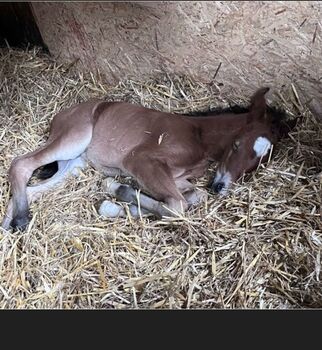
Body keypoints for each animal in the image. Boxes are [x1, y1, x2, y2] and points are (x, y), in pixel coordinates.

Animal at [1, 87, 294, 230]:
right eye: (236, 145)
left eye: (258, 162)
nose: (221, 186)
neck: (198, 135)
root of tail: (61, 116)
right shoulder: (140, 160)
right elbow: (177, 206)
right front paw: (116, 192)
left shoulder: (177, 177)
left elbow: (193, 197)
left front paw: (116, 201)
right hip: (74, 138)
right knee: (21, 164)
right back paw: (22, 220)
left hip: (75, 164)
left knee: (32, 188)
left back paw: (8, 223)